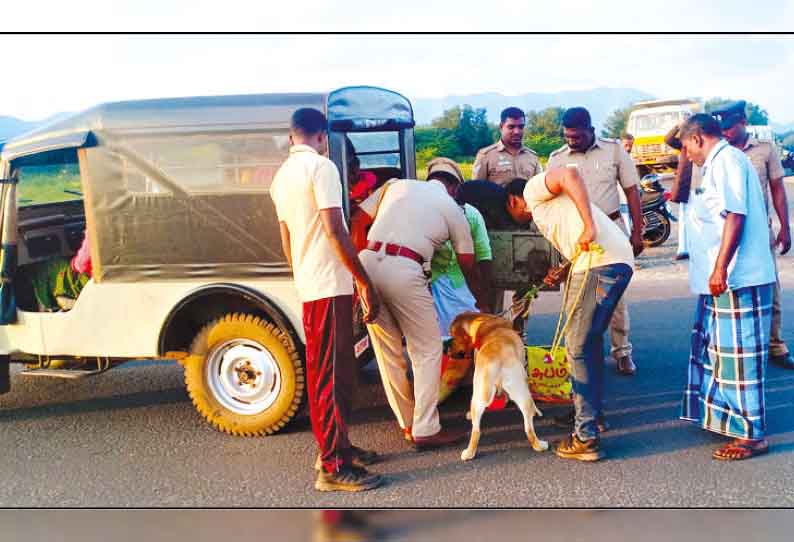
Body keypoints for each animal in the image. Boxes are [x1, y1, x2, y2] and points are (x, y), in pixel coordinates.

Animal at [448, 312, 548, 462]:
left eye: (453, 336)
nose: (447, 350)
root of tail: (496, 359)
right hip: (521, 392)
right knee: (529, 427)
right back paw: (540, 445)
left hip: (478, 397)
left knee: (476, 430)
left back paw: (469, 453)